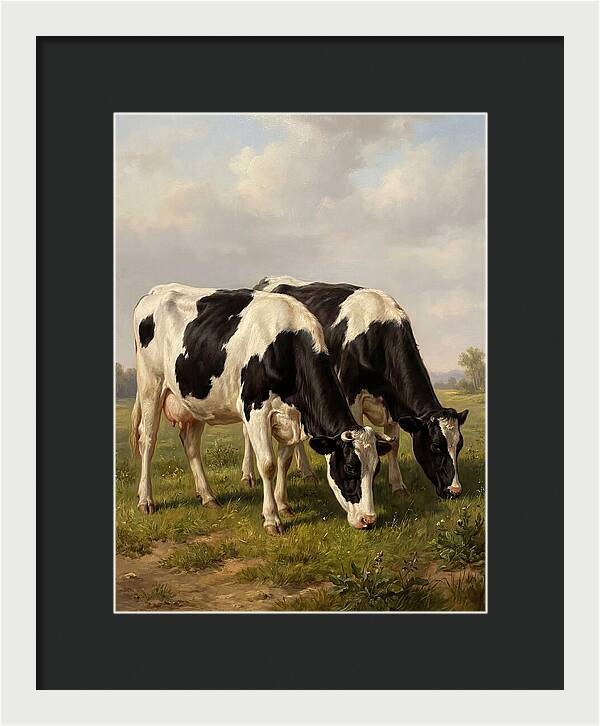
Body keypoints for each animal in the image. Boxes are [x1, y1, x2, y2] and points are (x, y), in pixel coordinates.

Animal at [130, 283, 393, 535]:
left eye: (376, 468)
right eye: (350, 467)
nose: (369, 520)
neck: (287, 345)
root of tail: (157, 291)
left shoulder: (292, 418)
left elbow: (285, 461)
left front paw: (283, 505)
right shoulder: (255, 411)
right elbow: (268, 464)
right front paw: (271, 519)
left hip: (195, 400)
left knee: (190, 443)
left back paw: (208, 497)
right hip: (151, 384)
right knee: (148, 440)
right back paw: (146, 500)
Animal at [252, 276, 469, 500]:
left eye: (459, 444)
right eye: (435, 446)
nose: (455, 491)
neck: (378, 333)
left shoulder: (392, 400)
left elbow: (393, 443)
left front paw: (397, 486)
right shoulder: (352, 396)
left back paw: (306, 472)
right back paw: (249, 476)